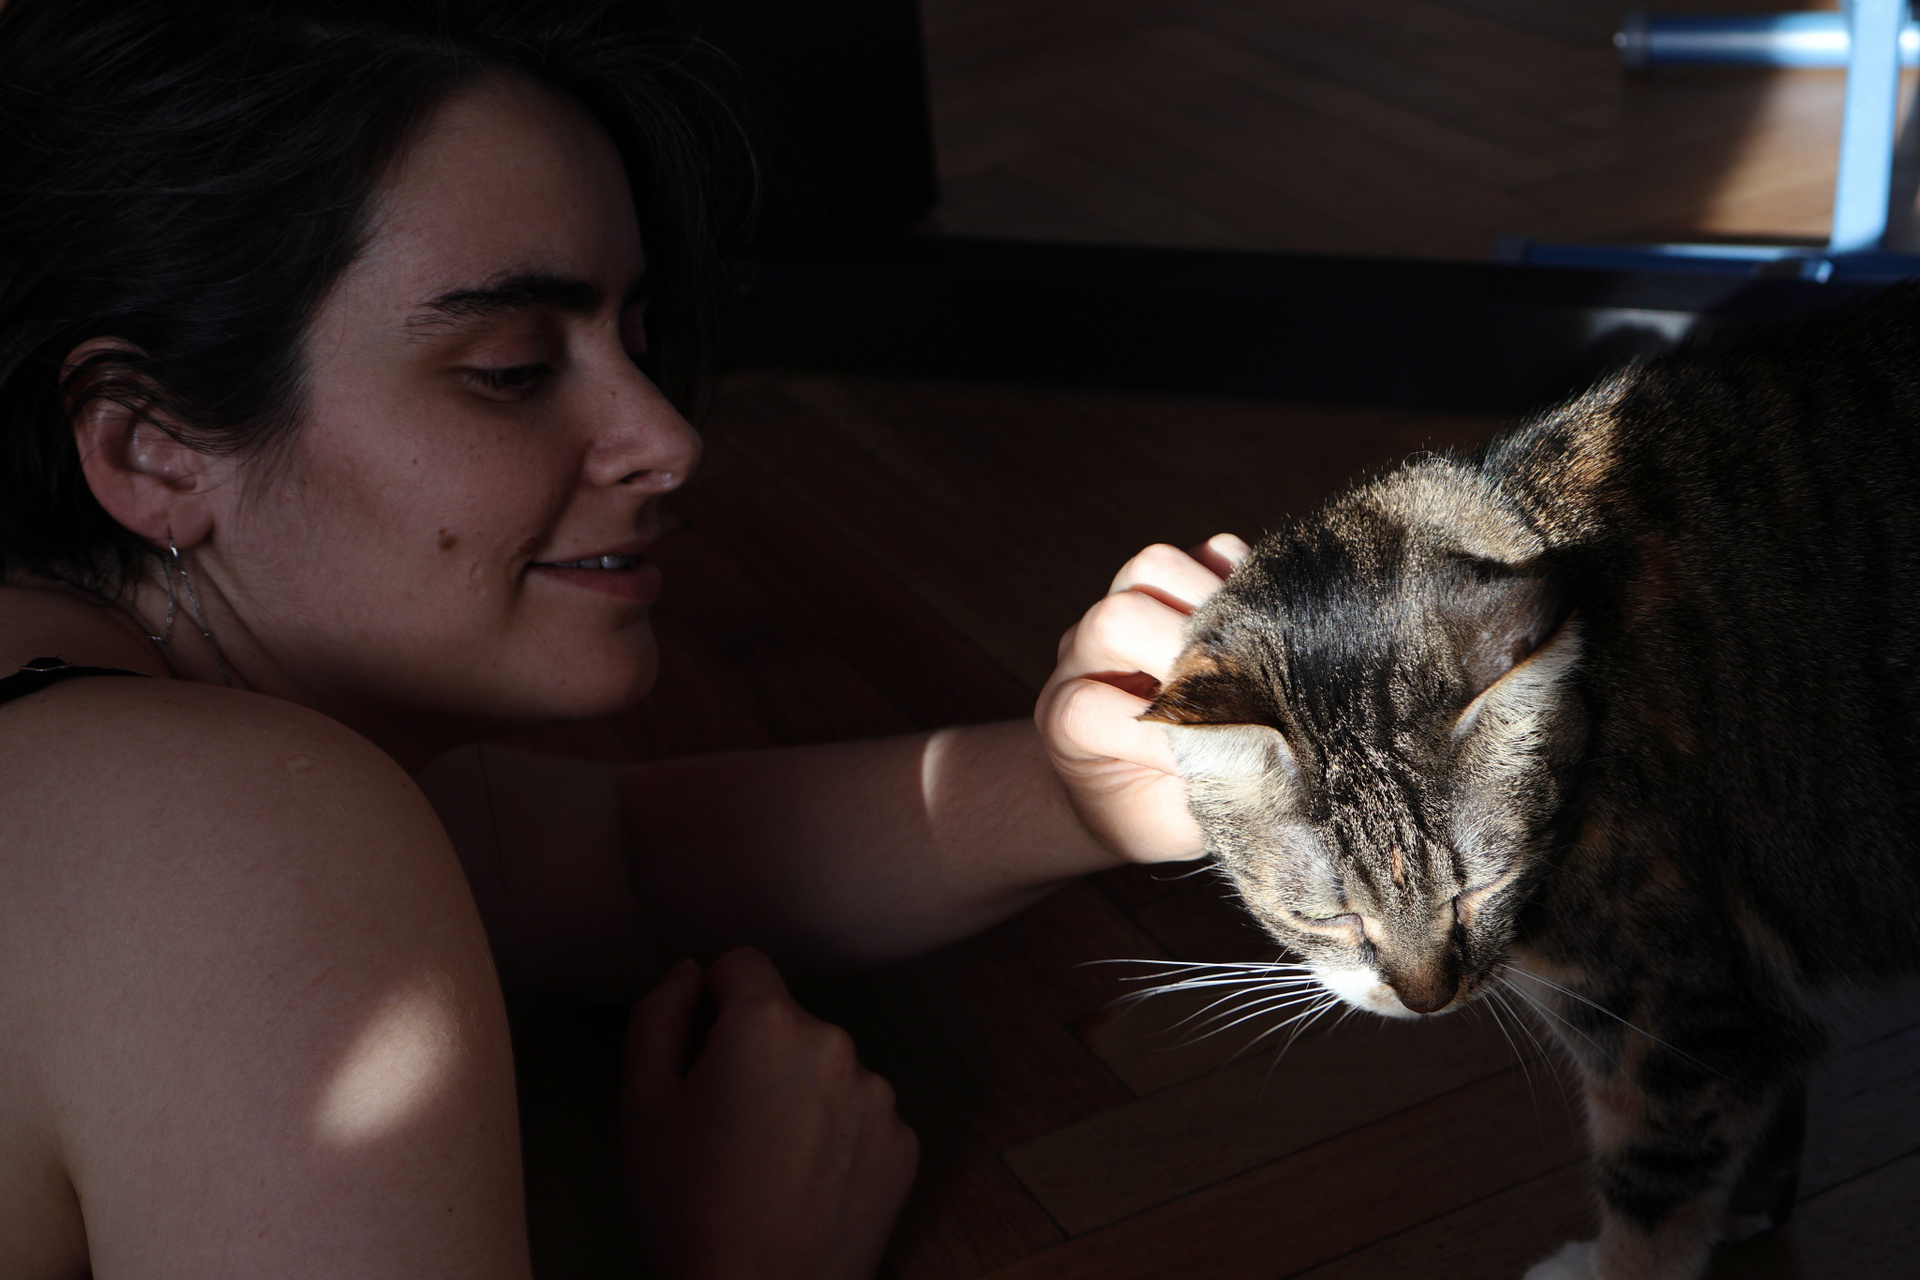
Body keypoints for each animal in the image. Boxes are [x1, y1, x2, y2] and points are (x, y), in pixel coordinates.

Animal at [1140, 288, 1920, 1280]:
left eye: (1480, 889)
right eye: (1329, 917)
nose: (1427, 1000)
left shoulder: (1678, 1025)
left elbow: (1650, 1214)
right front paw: (1753, 1210)